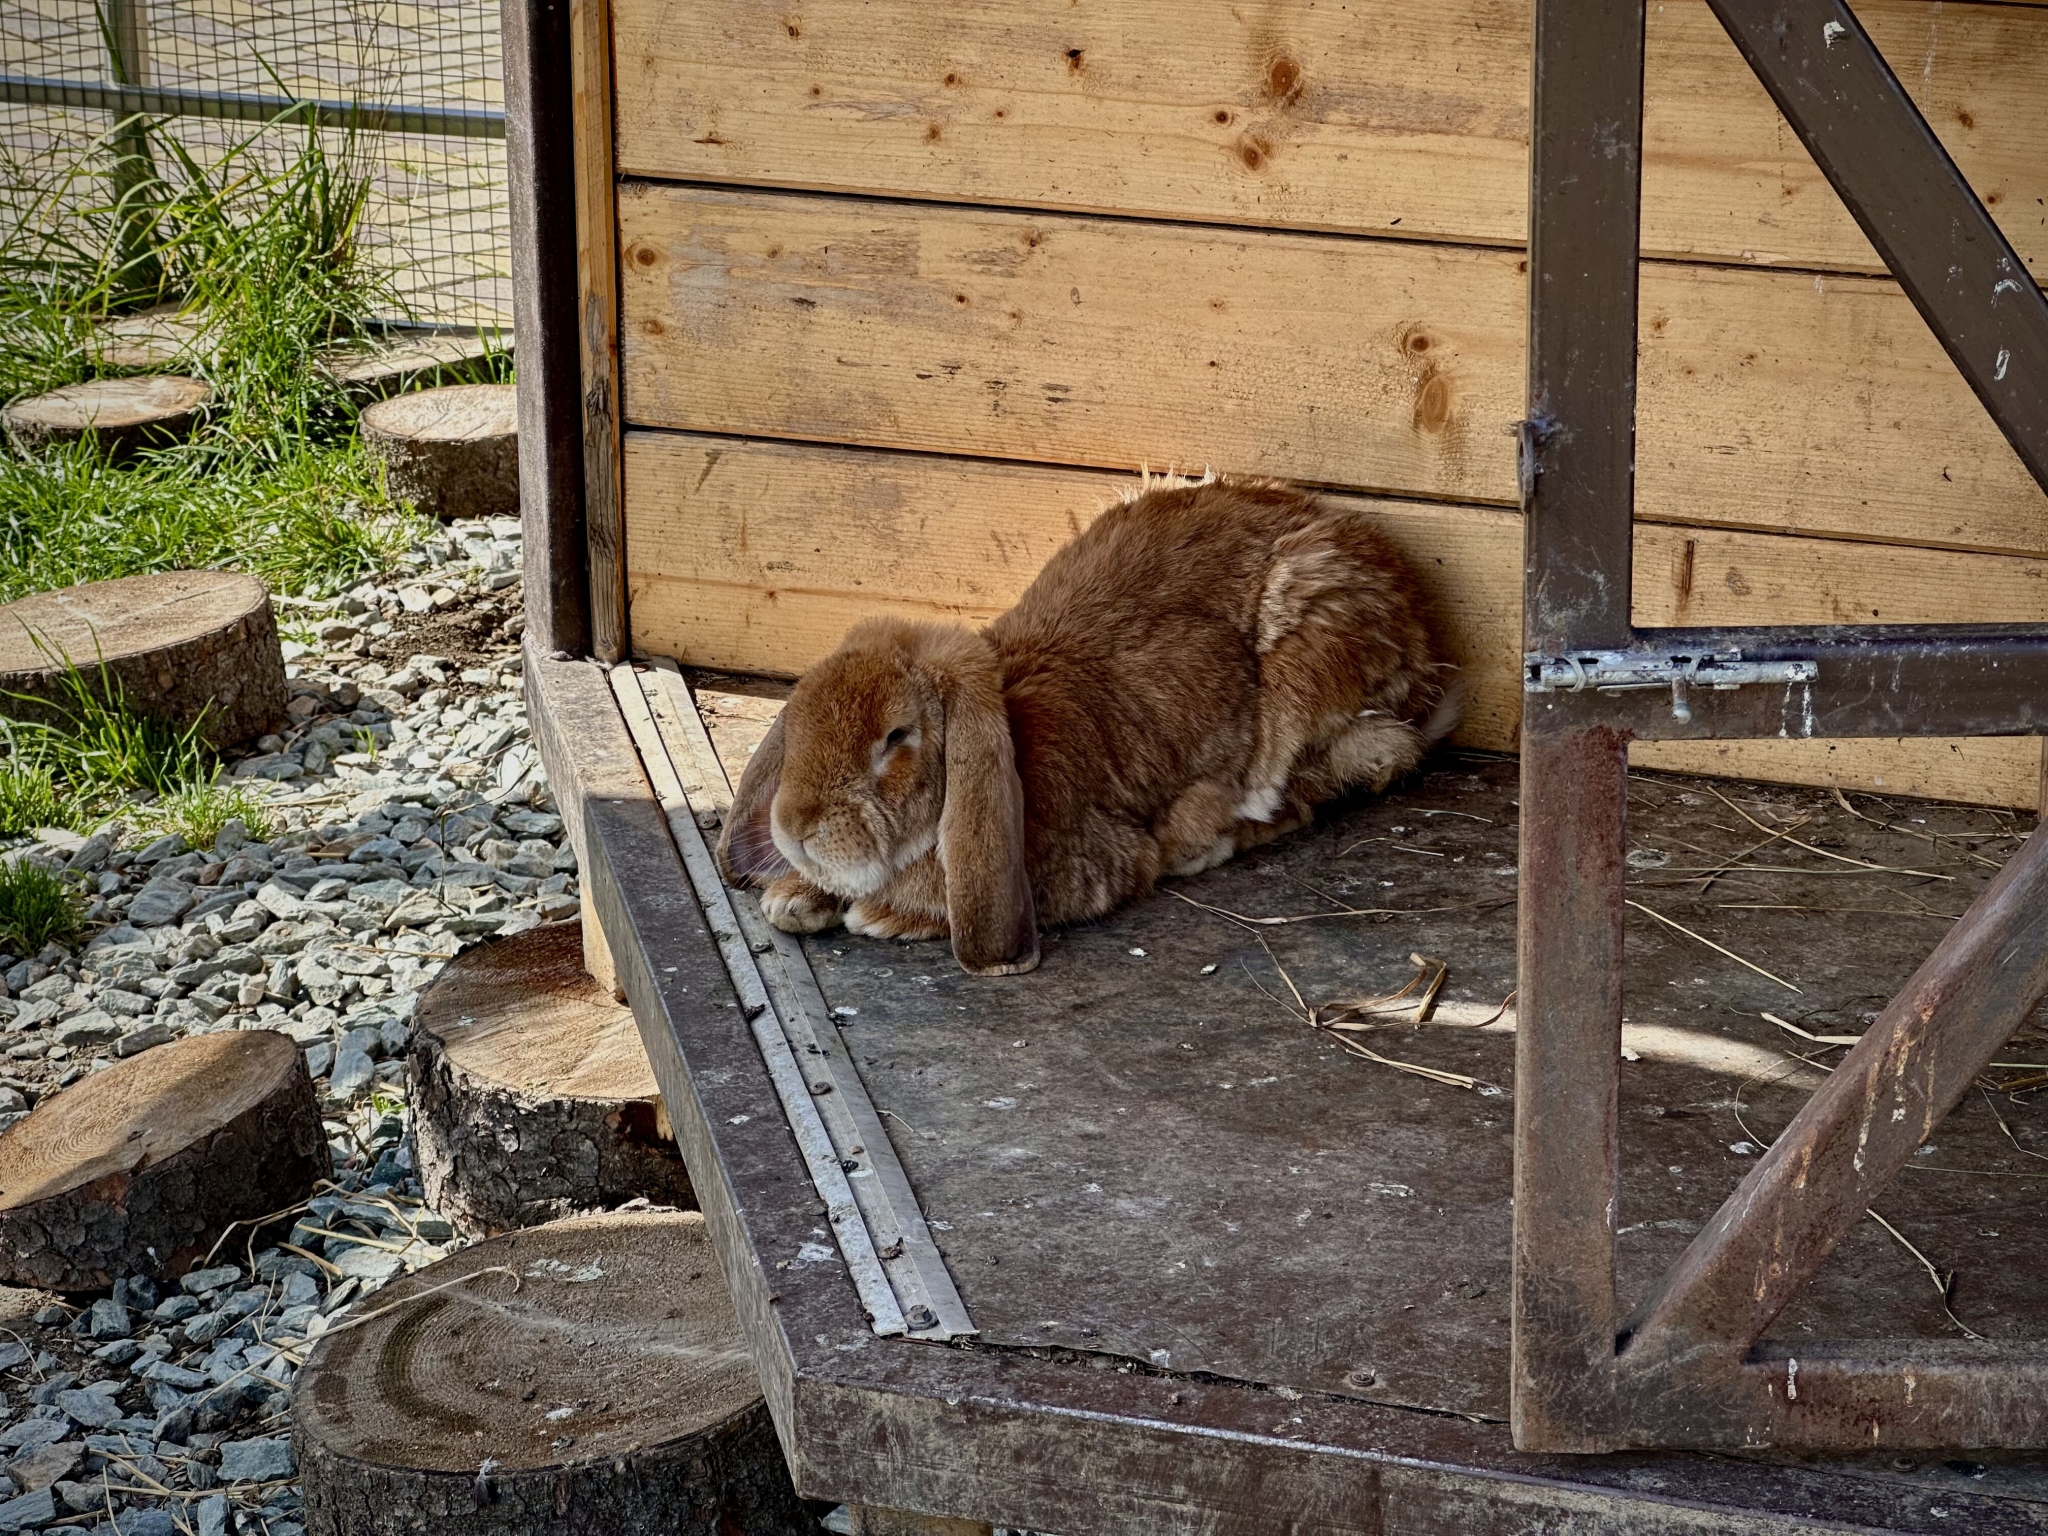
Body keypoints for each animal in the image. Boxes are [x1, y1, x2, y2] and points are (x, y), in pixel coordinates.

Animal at [715, 473, 1458, 976]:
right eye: (800, 724)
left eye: (896, 738)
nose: (795, 828)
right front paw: (793, 897)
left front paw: (881, 915)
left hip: (1307, 671)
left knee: (1313, 785)